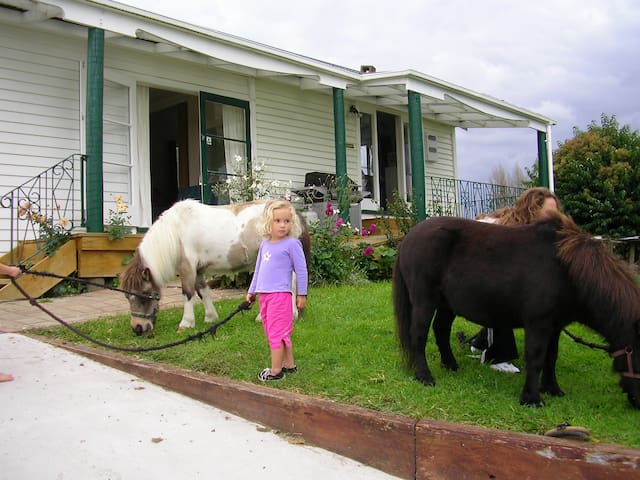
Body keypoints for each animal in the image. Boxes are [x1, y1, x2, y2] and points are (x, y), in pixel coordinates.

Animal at [121, 199, 312, 334]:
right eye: (127, 297)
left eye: (144, 294)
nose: (137, 328)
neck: (176, 230)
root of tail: (293, 213)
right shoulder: (198, 269)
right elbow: (202, 291)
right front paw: (210, 317)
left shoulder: (187, 267)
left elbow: (188, 293)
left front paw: (186, 323)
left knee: (291, 285)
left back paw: (290, 315)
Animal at [392, 214, 640, 408]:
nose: (636, 403)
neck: (565, 271)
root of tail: (409, 237)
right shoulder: (538, 324)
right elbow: (536, 357)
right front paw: (532, 398)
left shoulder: (554, 326)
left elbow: (551, 357)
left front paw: (552, 389)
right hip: (425, 301)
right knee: (419, 336)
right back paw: (424, 377)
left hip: (446, 304)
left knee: (441, 330)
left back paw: (451, 365)